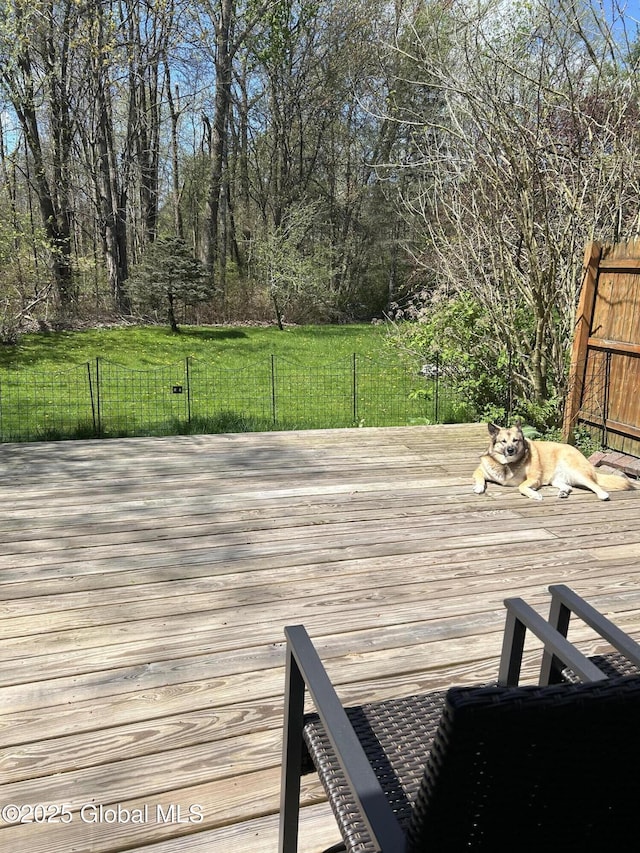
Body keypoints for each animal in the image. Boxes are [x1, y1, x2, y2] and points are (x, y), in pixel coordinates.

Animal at [472, 422, 632, 500]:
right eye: (503, 441)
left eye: (515, 440)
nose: (510, 450)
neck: (506, 464)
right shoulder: (479, 470)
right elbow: (480, 478)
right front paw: (479, 487)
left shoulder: (534, 478)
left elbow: (522, 486)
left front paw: (534, 494)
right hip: (556, 479)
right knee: (568, 486)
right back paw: (563, 492)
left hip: (575, 470)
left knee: (595, 485)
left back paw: (603, 495)